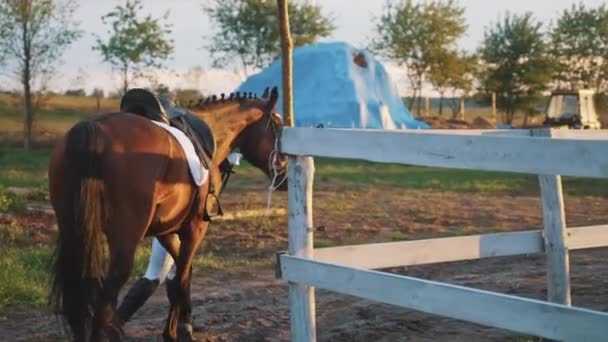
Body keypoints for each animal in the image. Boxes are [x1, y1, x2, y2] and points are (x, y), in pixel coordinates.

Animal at [48, 87, 284, 340]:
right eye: (278, 127)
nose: (284, 172)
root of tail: (93, 129)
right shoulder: (195, 228)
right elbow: (181, 277)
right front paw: (183, 329)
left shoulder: (166, 230)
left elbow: (177, 276)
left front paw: (173, 329)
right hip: (123, 240)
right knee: (105, 301)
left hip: (74, 233)